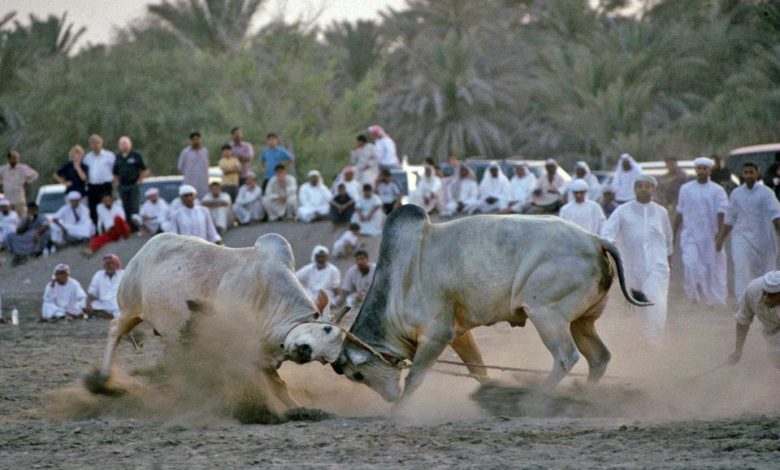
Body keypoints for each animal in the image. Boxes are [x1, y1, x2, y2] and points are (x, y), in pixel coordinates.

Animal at [85, 232, 346, 411]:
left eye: (326, 359)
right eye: (325, 328)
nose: (304, 352)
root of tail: (148, 247)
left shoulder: (262, 359)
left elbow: (280, 387)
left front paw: (301, 409)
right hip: (130, 308)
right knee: (115, 331)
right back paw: (103, 380)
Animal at [332, 204, 650, 403]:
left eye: (358, 374)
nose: (389, 397)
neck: (399, 282)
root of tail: (595, 239)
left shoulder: (436, 336)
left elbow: (414, 378)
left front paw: (399, 410)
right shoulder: (459, 334)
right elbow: (479, 370)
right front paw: (489, 391)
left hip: (547, 316)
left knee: (566, 357)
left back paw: (535, 400)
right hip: (581, 321)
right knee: (598, 357)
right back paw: (583, 396)